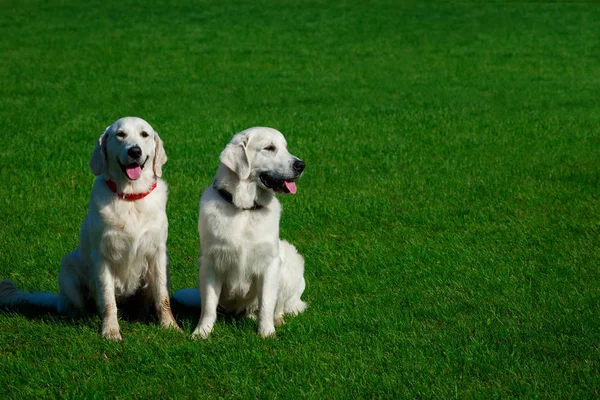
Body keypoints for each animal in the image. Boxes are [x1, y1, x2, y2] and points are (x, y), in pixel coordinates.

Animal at [0, 116, 178, 340]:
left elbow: (163, 296)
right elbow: (108, 300)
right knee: (76, 307)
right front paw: (110, 331)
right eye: (121, 134)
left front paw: (170, 326)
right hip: (68, 271)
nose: (135, 151)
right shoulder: (102, 256)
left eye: (144, 134)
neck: (130, 198)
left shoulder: (158, 253)